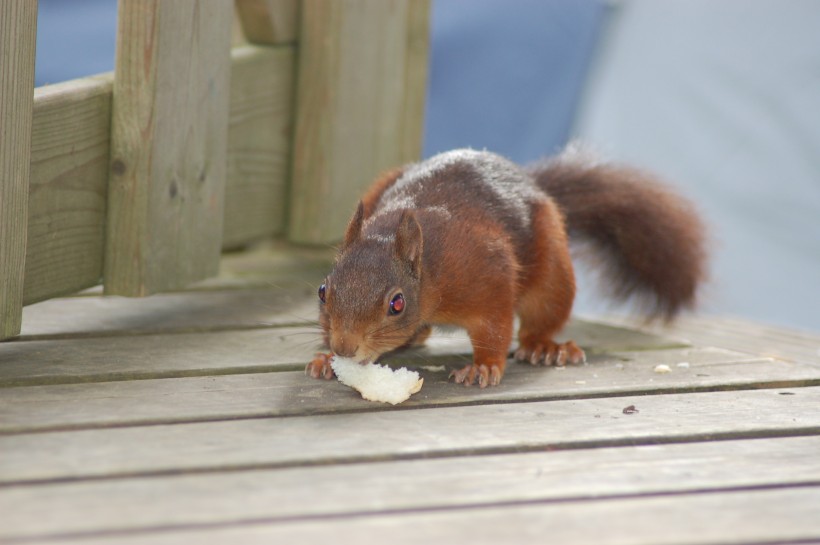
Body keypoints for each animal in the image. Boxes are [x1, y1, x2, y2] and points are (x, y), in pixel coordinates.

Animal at [304, 144, 708, 386]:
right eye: (322, 291)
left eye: (397, 303)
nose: (344, 347)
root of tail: (533, 183)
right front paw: (326, 359)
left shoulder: (487, 271)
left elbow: (494, 327)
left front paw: (483, 366)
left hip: (553, 276)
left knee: (541, 317)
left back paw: (545, 347)